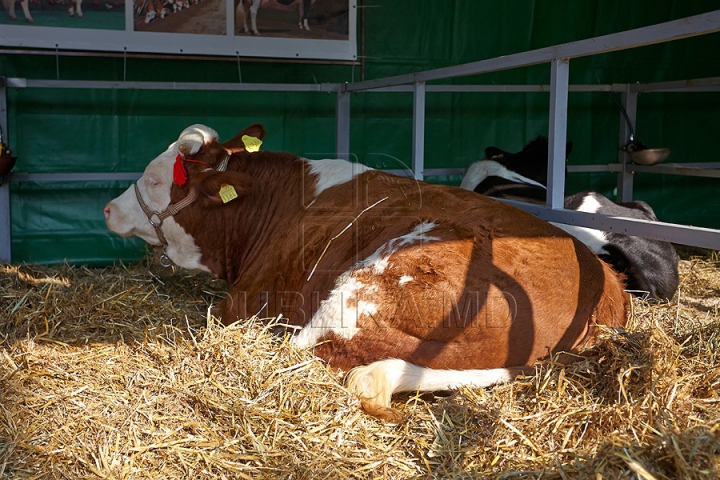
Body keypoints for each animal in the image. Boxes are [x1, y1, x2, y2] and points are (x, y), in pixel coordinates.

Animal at [104, 124, 628, 420]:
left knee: (310, 353)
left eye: (155, 180)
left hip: (358, 292)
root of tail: (603, 289)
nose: (107, 209)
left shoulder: (244, 302)